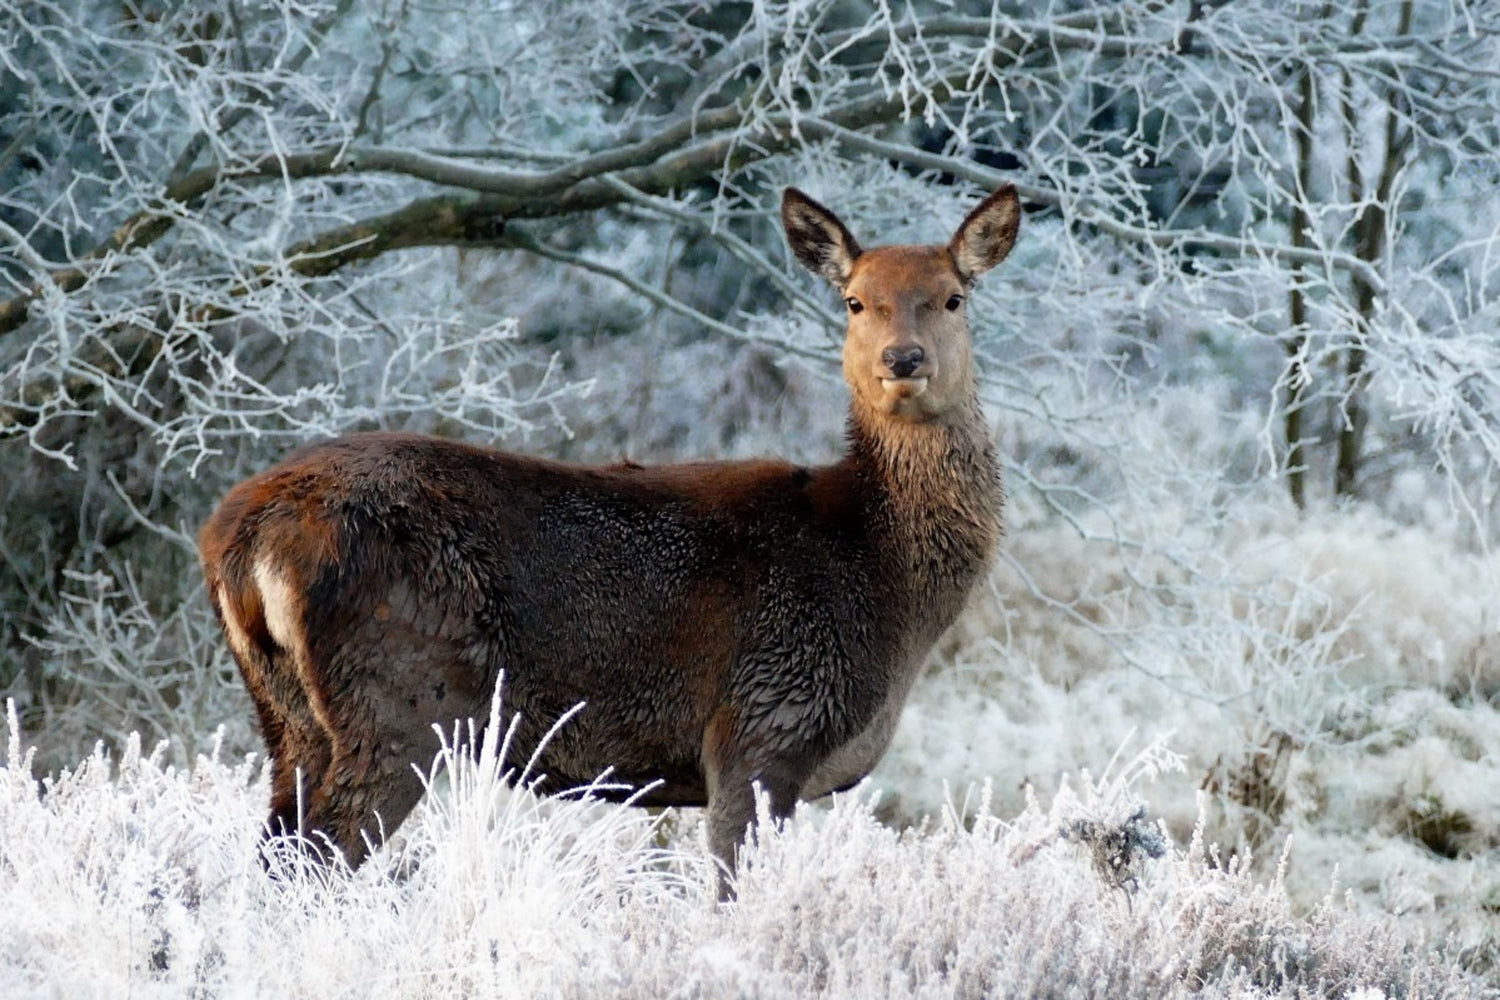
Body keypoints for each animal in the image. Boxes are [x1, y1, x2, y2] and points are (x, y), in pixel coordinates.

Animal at [196, 182, 1020, 899]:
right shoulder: (763, 725)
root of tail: (240, 536)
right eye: (855, 301)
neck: (880, 577)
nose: (902, 360)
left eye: (953, 297)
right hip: (399, 696)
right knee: (317, 862)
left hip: (287, 717)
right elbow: (730, 892)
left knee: (275, 856)